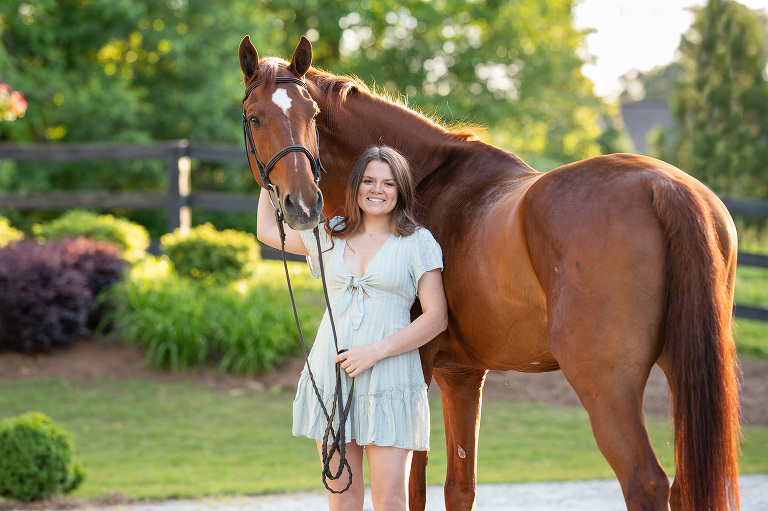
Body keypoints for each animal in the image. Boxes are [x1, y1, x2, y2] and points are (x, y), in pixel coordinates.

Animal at [242, 34, 744, 510]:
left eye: (311, 113)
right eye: (255, 118)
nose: (303, 204)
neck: (422, 182)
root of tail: (662, 186)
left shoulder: (421, 367)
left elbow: (414, 490)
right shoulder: (462, 375)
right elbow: (460, 488)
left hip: (607, 385)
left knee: (646, 482)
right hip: (682, 370)